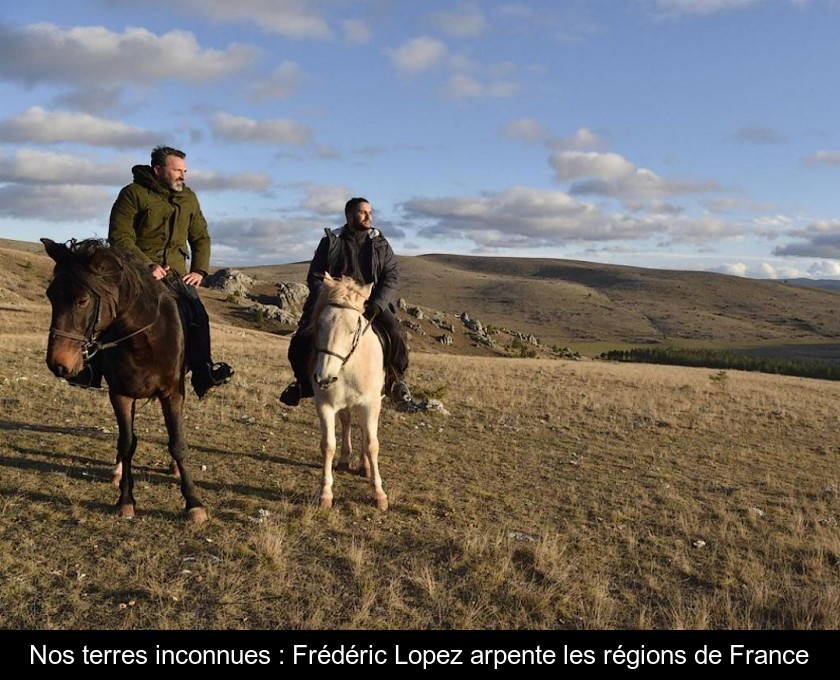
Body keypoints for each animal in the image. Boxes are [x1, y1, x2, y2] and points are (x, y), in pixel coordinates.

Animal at [41, 236, 208, 524]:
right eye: (51, 295)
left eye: (82, 300)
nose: (57, 363)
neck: (143, 337)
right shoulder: (120, 393)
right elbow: (127, 442)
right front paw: (126, 500)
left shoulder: (173, 392)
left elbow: (177, 443)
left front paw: (193, 503)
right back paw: (118, 471)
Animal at [308, 270, 388, 510]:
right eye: (320, 324)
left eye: (354, 329)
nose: (324, 377)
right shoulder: (324, 404)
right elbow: (327, 445)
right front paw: (325, 493)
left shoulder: (370, 403)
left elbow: (372, 444)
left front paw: (379, 493)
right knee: (346, 422)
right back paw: (345, 460)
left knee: (363, 429)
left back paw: (365, 466)